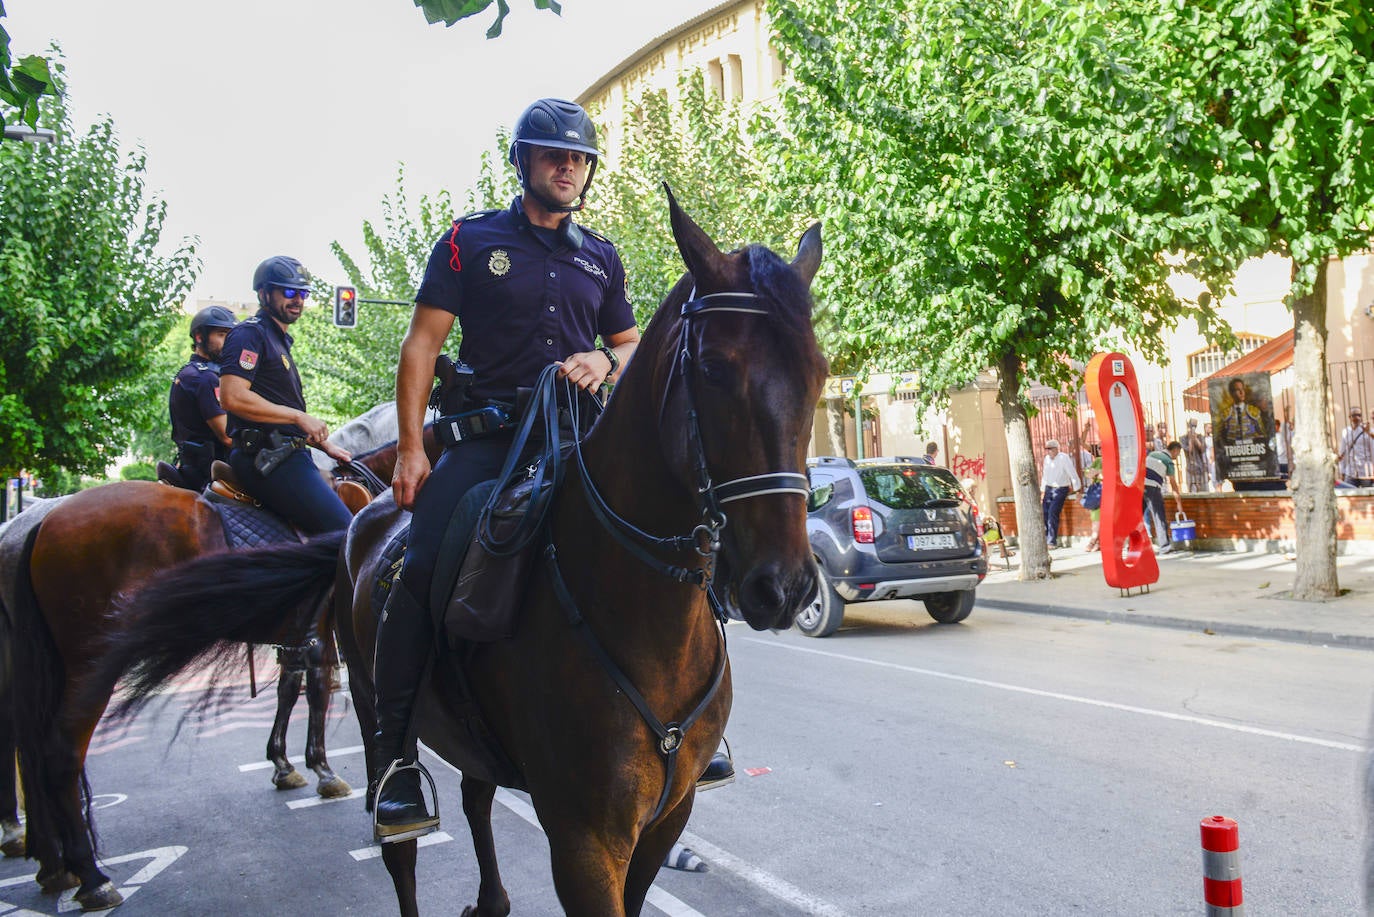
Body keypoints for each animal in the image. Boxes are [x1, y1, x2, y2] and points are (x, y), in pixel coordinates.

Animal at [2, 423, 436, 912]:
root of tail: (40, 522)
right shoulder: (326, 627)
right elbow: (318, 687)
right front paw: (324, 771)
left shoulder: (303, 630)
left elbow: (291, 687)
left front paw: (285, 764)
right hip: (87, 663)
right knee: (59, 751)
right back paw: (90, 875)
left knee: (30, 745)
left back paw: (52, 864)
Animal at [83, 192, 824, 912]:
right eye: (714, 369)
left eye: (818, 373)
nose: (785, 586)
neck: (642, 616)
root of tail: (366, 515)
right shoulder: (584, 839)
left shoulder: (665, 821)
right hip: (378, 709)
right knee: (399, 843)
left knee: (473, 794)